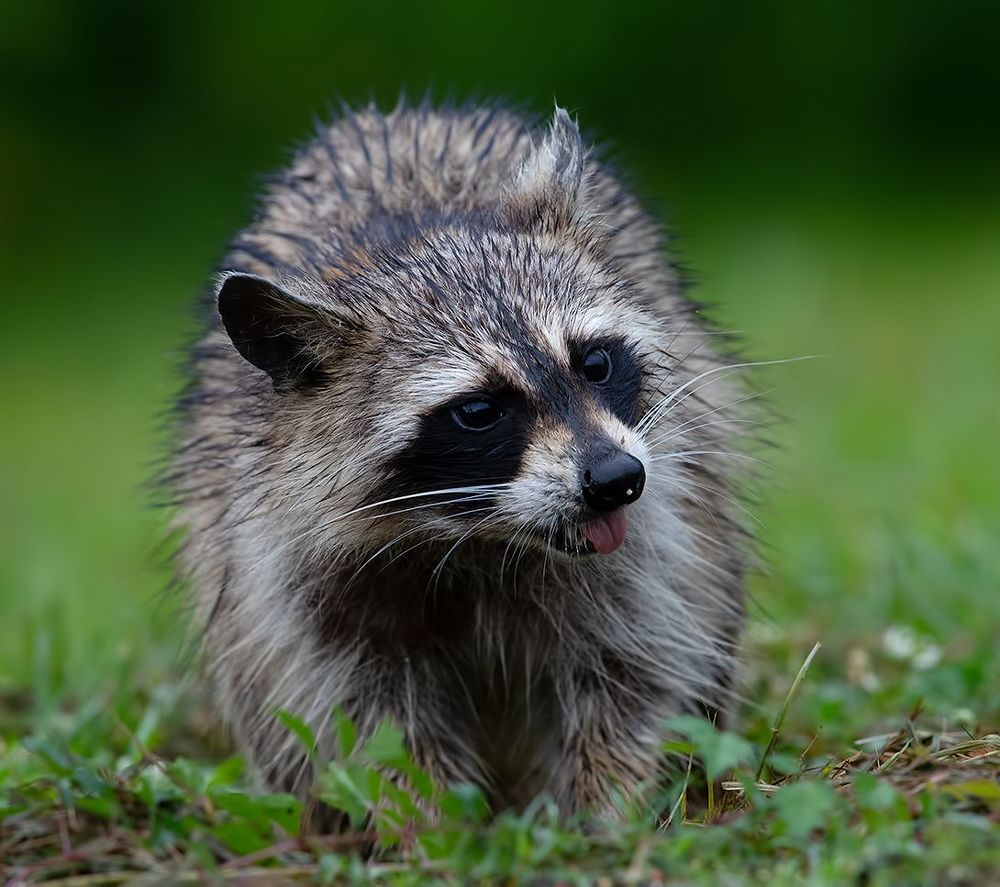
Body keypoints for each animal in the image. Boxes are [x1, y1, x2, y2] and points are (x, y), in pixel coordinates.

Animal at [169, 101, 750, 817]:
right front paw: (432, 819)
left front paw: (607, 808)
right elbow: (363, 717)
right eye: (477, 411)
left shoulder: (654, 532)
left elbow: (634, 666)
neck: (478, 541)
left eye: (594, 362)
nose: (617, 481)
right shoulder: (292, 574)